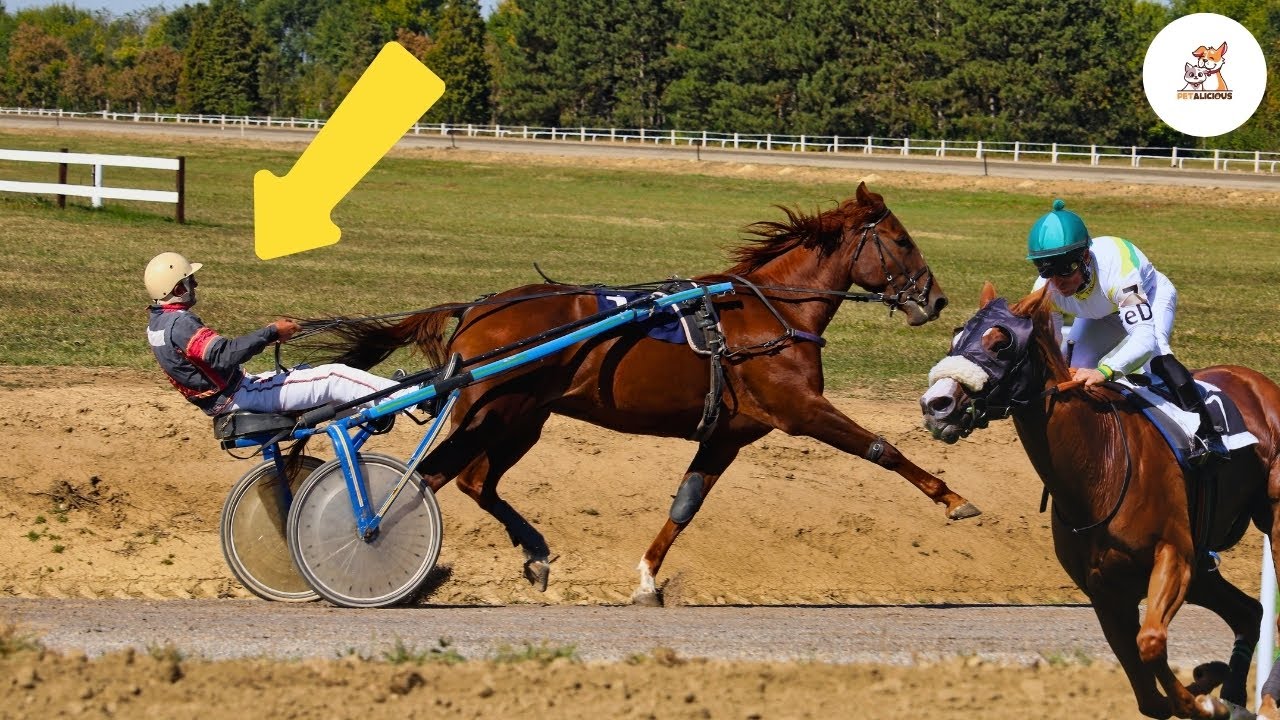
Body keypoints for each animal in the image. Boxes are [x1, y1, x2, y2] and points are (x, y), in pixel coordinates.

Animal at [312, 182, 978, 606]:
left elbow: (685, 507)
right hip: (498, 414)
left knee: (475, 481)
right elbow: (882, 449)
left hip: (522, 419)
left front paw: (647, 581)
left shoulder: (728, 435)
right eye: (900, 239)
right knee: (428, 479)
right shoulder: (800, 409)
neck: (770, 315)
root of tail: (477, 309)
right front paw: (954, 499)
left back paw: (534, 554)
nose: (936, 299)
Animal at [920, 281, 1280, 720]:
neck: (1099, 467)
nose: (936, 405)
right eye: (956, 338)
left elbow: (1151, 642)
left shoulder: (1174, 556)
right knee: (1248, 612)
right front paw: (1207, 687)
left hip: (1264, 524)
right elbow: (1147, 691)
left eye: (1000, 343)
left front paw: (1203, 702)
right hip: (1202, 574)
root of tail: (1257, 381)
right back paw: (1233, 694)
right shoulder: (1105, 590)